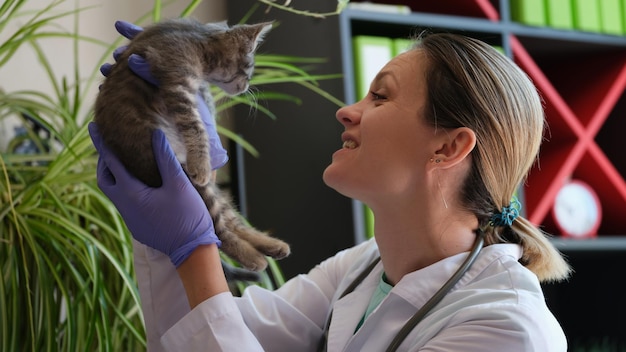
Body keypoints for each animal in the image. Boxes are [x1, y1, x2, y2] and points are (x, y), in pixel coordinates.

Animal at [94, 17, 290, 270]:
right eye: (247, 69)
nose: (246, 87)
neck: (198, 41)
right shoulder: (178, 84)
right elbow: (196, 126)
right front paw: (202, 164)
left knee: (230, 221)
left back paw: (272, 245)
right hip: (188, 181)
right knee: (218, 230)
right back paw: (253, 257)